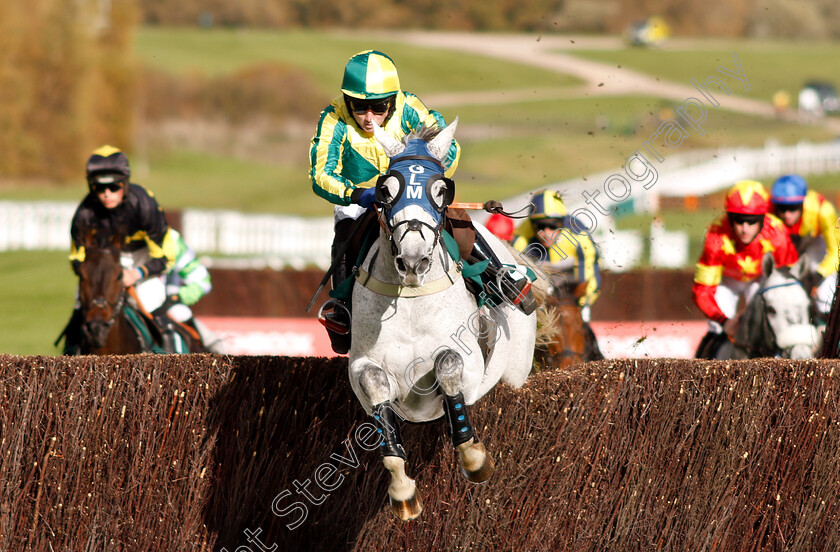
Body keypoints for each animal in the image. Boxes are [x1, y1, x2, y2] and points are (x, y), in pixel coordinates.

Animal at [348, 119, 540, 520]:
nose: (413, 259)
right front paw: (403, 490)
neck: (410, 300)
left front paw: (474, 458)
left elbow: (448, 365)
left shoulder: (469, 365)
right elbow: (375, 387)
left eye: (440, 190)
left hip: (516, 370)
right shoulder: (361, 366)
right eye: (386, 190)